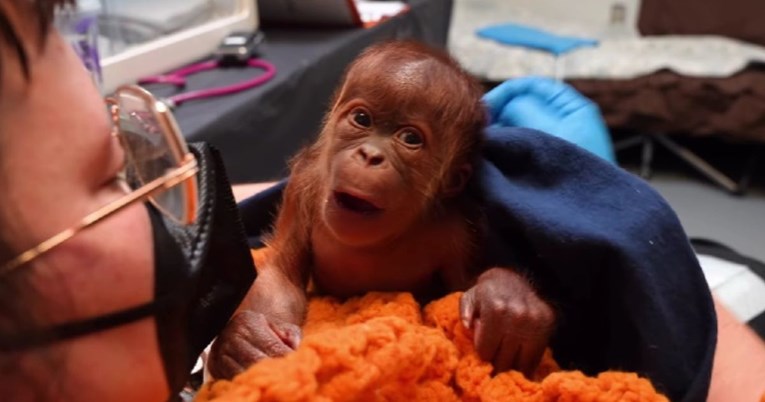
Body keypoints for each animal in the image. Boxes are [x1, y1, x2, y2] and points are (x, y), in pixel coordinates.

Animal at [209, 40, 555, 380]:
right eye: (362, 119)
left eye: (411, 138)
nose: (369, 155)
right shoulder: (303, 186)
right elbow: (282, 271)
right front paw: (245, 340)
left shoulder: (457, 230)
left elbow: (460, 287)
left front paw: (508, 301)